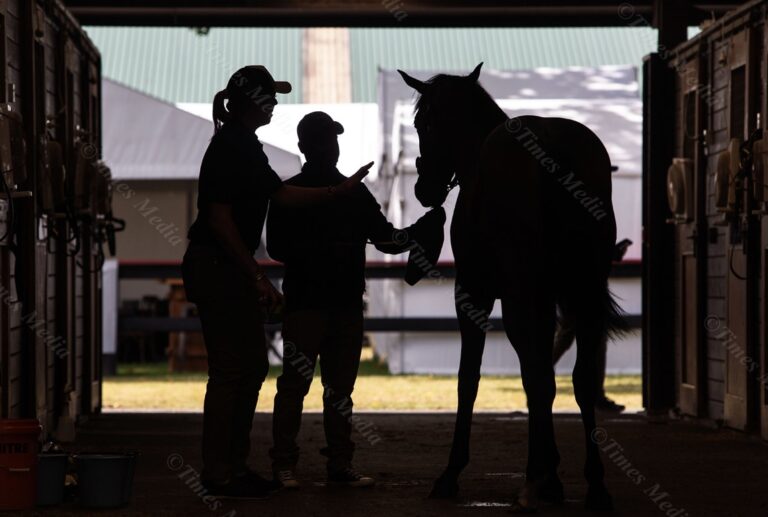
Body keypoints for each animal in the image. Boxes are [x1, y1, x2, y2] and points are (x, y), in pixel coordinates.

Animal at [400, 62, 628, 510]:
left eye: (423, 123)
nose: (423, 188)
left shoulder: (475, 295)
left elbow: (470, 379)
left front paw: (453, 473)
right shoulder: (546, 298)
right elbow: (541, 374)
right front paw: (547, 469)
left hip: (523, 295)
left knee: (539, 374)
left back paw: (540, 483)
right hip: (584, 293)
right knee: (579, 378)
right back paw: (593, 483)